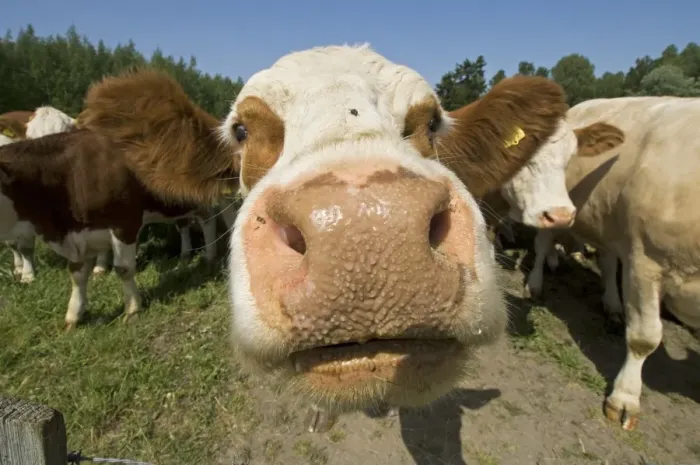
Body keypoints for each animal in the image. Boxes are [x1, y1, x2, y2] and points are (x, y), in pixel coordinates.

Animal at [0, 68, 239, 330]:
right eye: (29, 135)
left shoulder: (124, 223)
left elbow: (123, 268)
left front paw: (132, 308)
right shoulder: (80, 232)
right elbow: (77, 273)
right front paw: (74, 314)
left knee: (216, 220)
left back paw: (212, 255)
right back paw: (191, 256)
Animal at [525, 95, 700, 431]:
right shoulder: (645, 263)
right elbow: (645, 337)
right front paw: (625, 398)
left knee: (607, 262)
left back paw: (613, 305)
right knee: (542, 245)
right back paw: (536, 283)